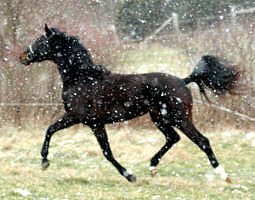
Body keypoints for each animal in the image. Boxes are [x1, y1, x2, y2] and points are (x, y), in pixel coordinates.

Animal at [19, 24, 239, 183]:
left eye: (40, 41)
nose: (23, 56)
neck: (82, 79)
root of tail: (184, 81)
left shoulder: (78, 118)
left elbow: (52, 130)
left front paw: (44, 161)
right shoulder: (95, 124)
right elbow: (105, 151)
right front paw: (130, 175)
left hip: (179, 118)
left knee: (202, 141)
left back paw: (224, 176)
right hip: (159, 118)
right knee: (173, 138)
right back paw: (152, 167)